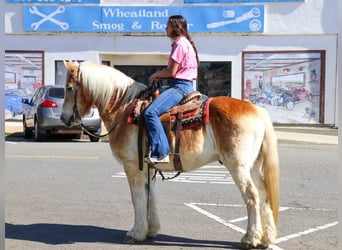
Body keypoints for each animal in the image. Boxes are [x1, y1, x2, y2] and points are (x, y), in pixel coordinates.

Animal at [60, 61, 280, 250]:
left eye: (69, 88)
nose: (64, 118)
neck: (123, 109)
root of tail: (258, 110)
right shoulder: (148, 168)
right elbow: (151, 196)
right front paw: (151, 230)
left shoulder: (132, 167)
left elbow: (137, 198)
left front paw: (136, 233)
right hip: (253, 167)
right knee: (263, 195)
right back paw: (266, 238)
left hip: (237, 166)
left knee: (252, 196)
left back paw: (250, 238)